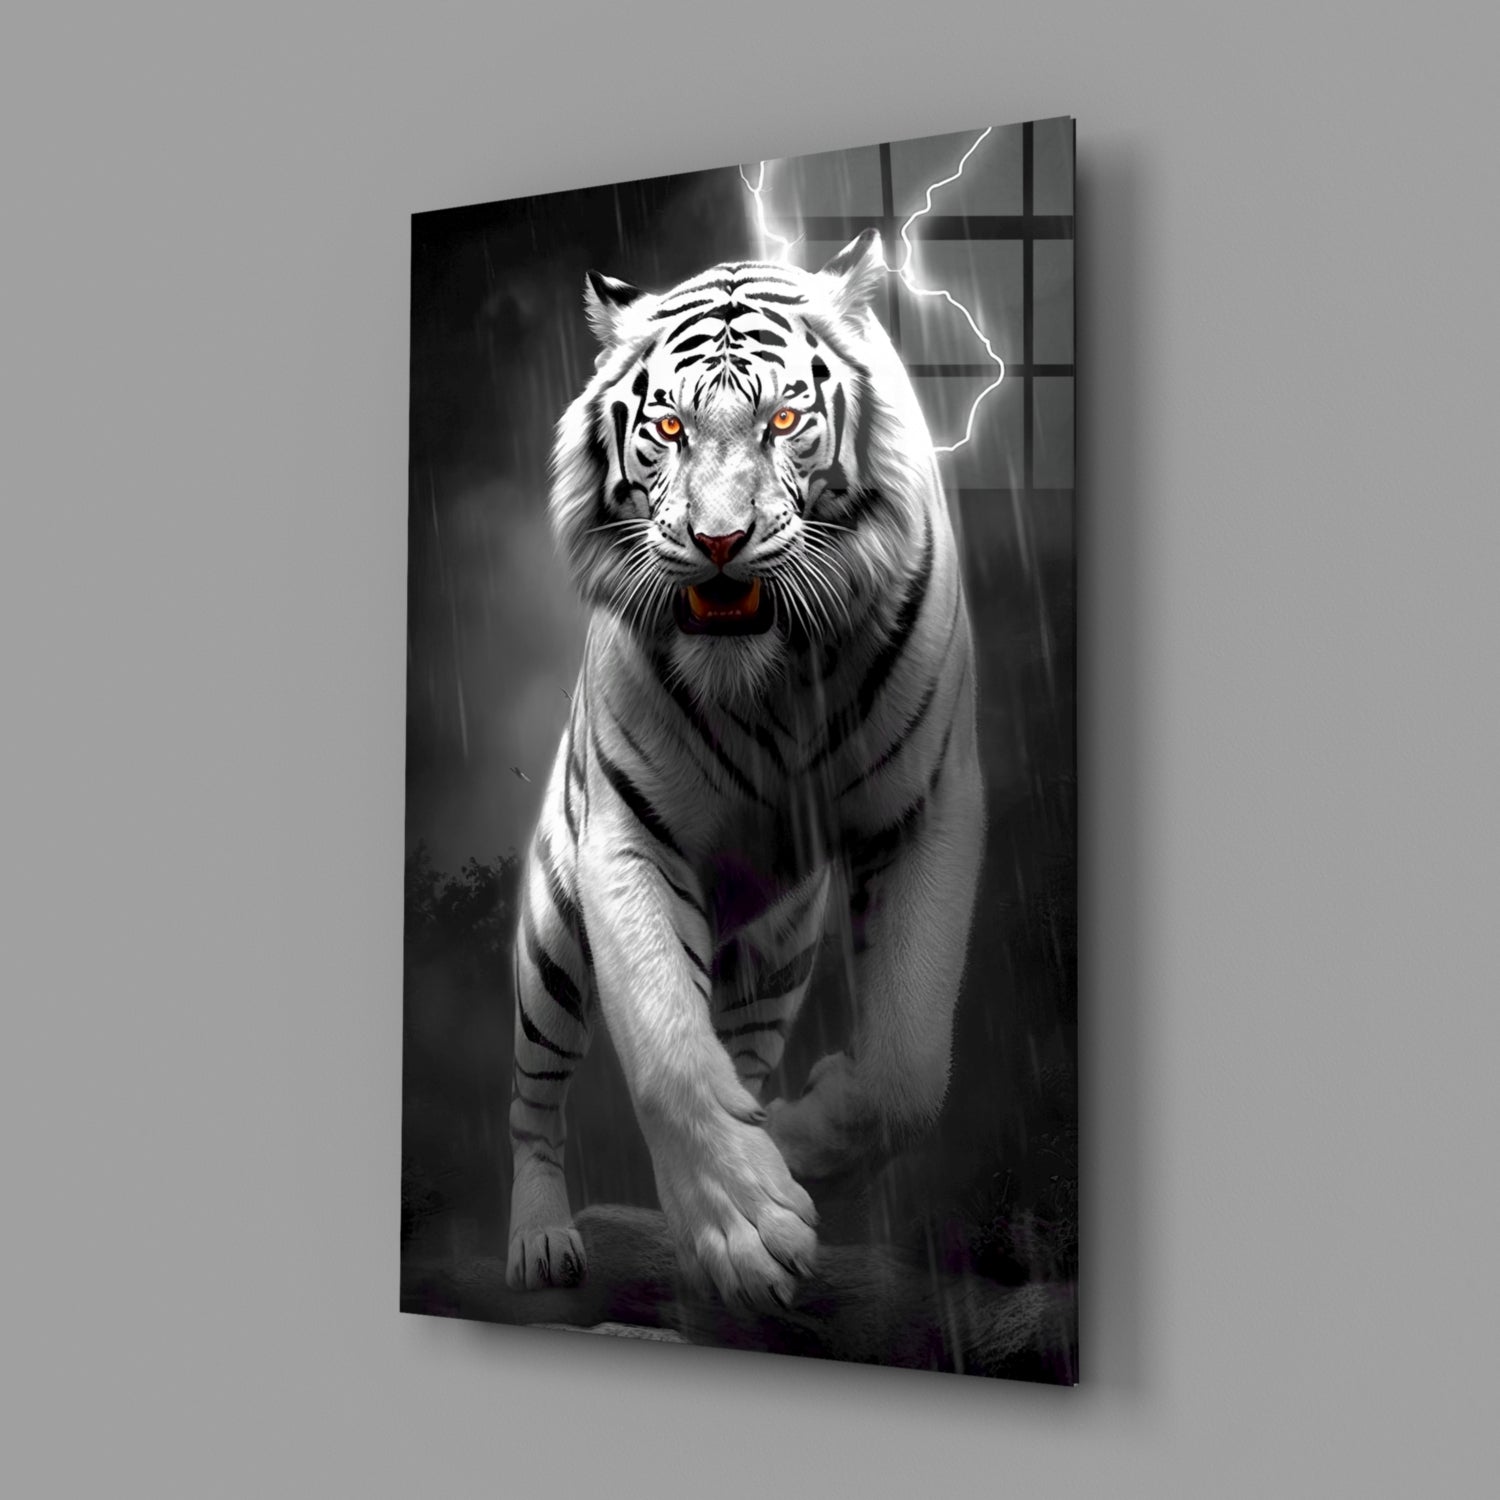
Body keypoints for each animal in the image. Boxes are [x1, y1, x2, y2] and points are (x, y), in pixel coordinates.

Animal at [505, 228, 985, 1310]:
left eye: (785, 420)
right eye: (669, 427)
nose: (718, 543)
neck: (771, 674)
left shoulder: (925, 808)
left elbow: (908, 1068)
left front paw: (796, 1145)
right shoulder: (629, 836)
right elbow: (666, 1048)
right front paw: (744, 1228)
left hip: (777, 955)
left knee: (747, 1046)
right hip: (549, 943)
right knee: (534, 1102)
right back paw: (541, 1239)